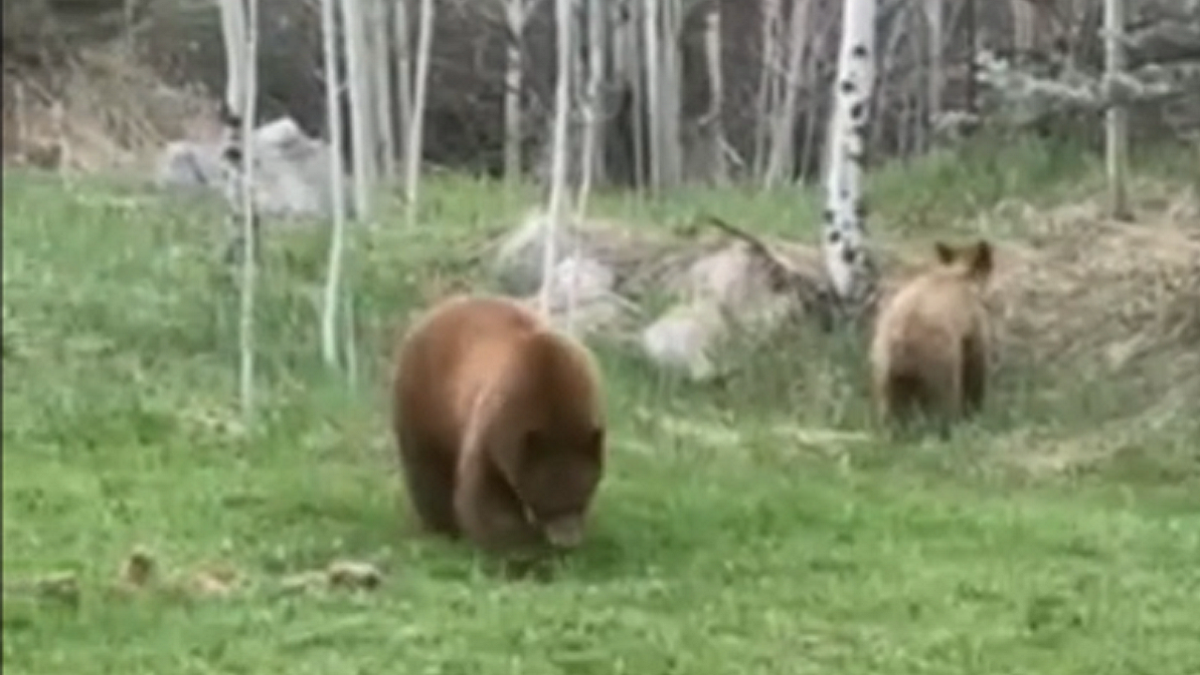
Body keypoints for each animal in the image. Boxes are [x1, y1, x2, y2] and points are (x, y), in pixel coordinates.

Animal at [388, 291, 604, 559]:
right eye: (545, 503)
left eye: (583, 497)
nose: (567, 541)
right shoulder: (497, 424)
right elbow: (486, 495)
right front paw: (521, 551)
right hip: (425, 401)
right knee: (427, 466)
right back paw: (442, 528)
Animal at [873, 239, 993, 432]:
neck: (959, 275)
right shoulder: (974, 322)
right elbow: (976, 365)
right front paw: (975, 411)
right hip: (939, 358)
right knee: (945, 397)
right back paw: (950, 426)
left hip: (883, 367)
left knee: (888, 405)